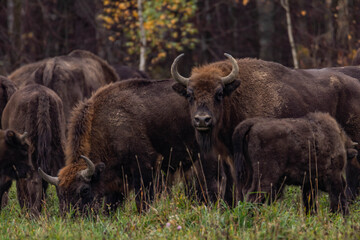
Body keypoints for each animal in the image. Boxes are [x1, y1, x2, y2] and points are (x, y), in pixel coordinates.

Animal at [39, 79, 205, 214]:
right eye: (60, 193)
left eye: (84, 190)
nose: (70, 217)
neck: (108, 127)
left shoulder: (145, 167)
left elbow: (143, 199)